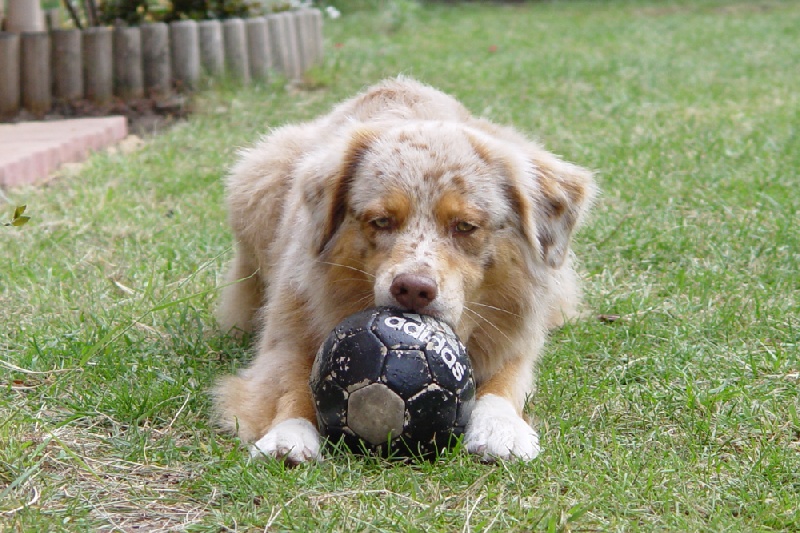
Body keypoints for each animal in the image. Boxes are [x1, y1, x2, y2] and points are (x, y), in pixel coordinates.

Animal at [212, 77, 592, 464]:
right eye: (381, 221)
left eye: (465, 226)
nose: (413, 289)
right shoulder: (288, 330)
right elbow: (290, 385)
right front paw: (288, 435)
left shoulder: (514, 335)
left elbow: (507, 381)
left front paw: (501, 429)